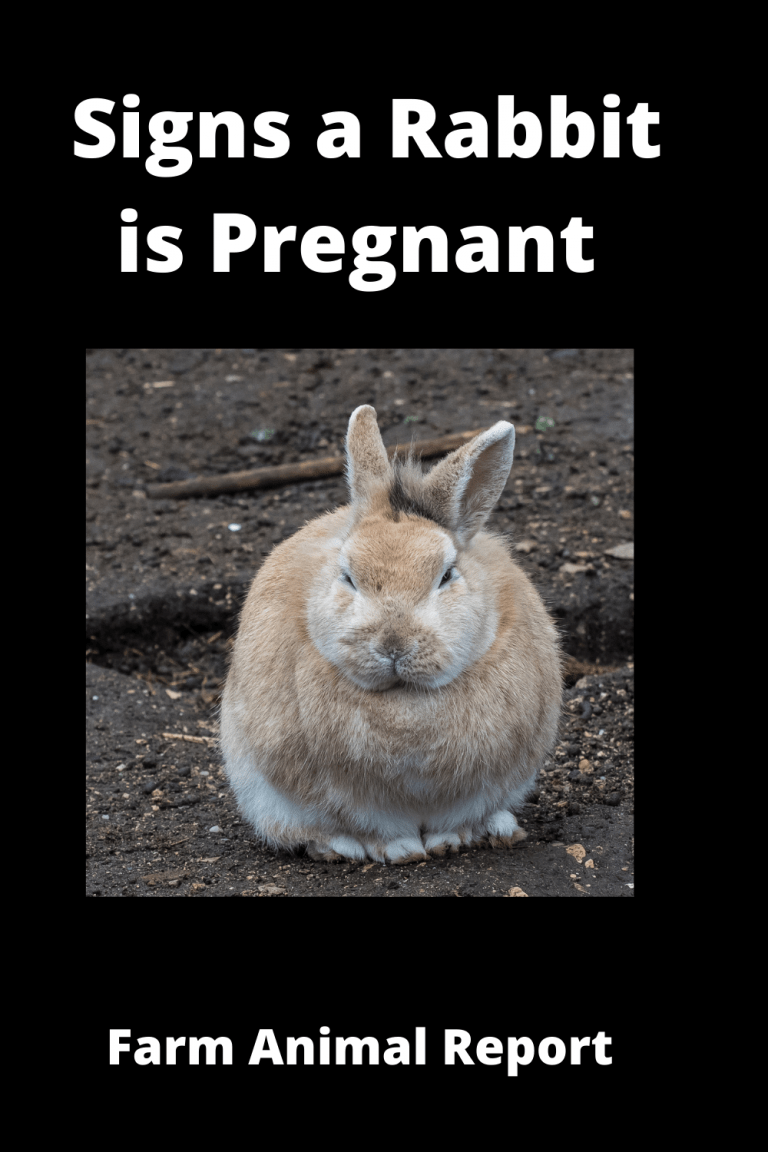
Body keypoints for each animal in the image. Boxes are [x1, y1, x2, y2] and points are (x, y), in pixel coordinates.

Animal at [220, 404, 562, 864]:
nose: (393, 645)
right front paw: (399, 851)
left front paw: (449, 841)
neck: (404, 700)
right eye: (348, 577)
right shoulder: (352, 798)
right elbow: (377, 826)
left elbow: (453, 819)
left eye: (446, 575)